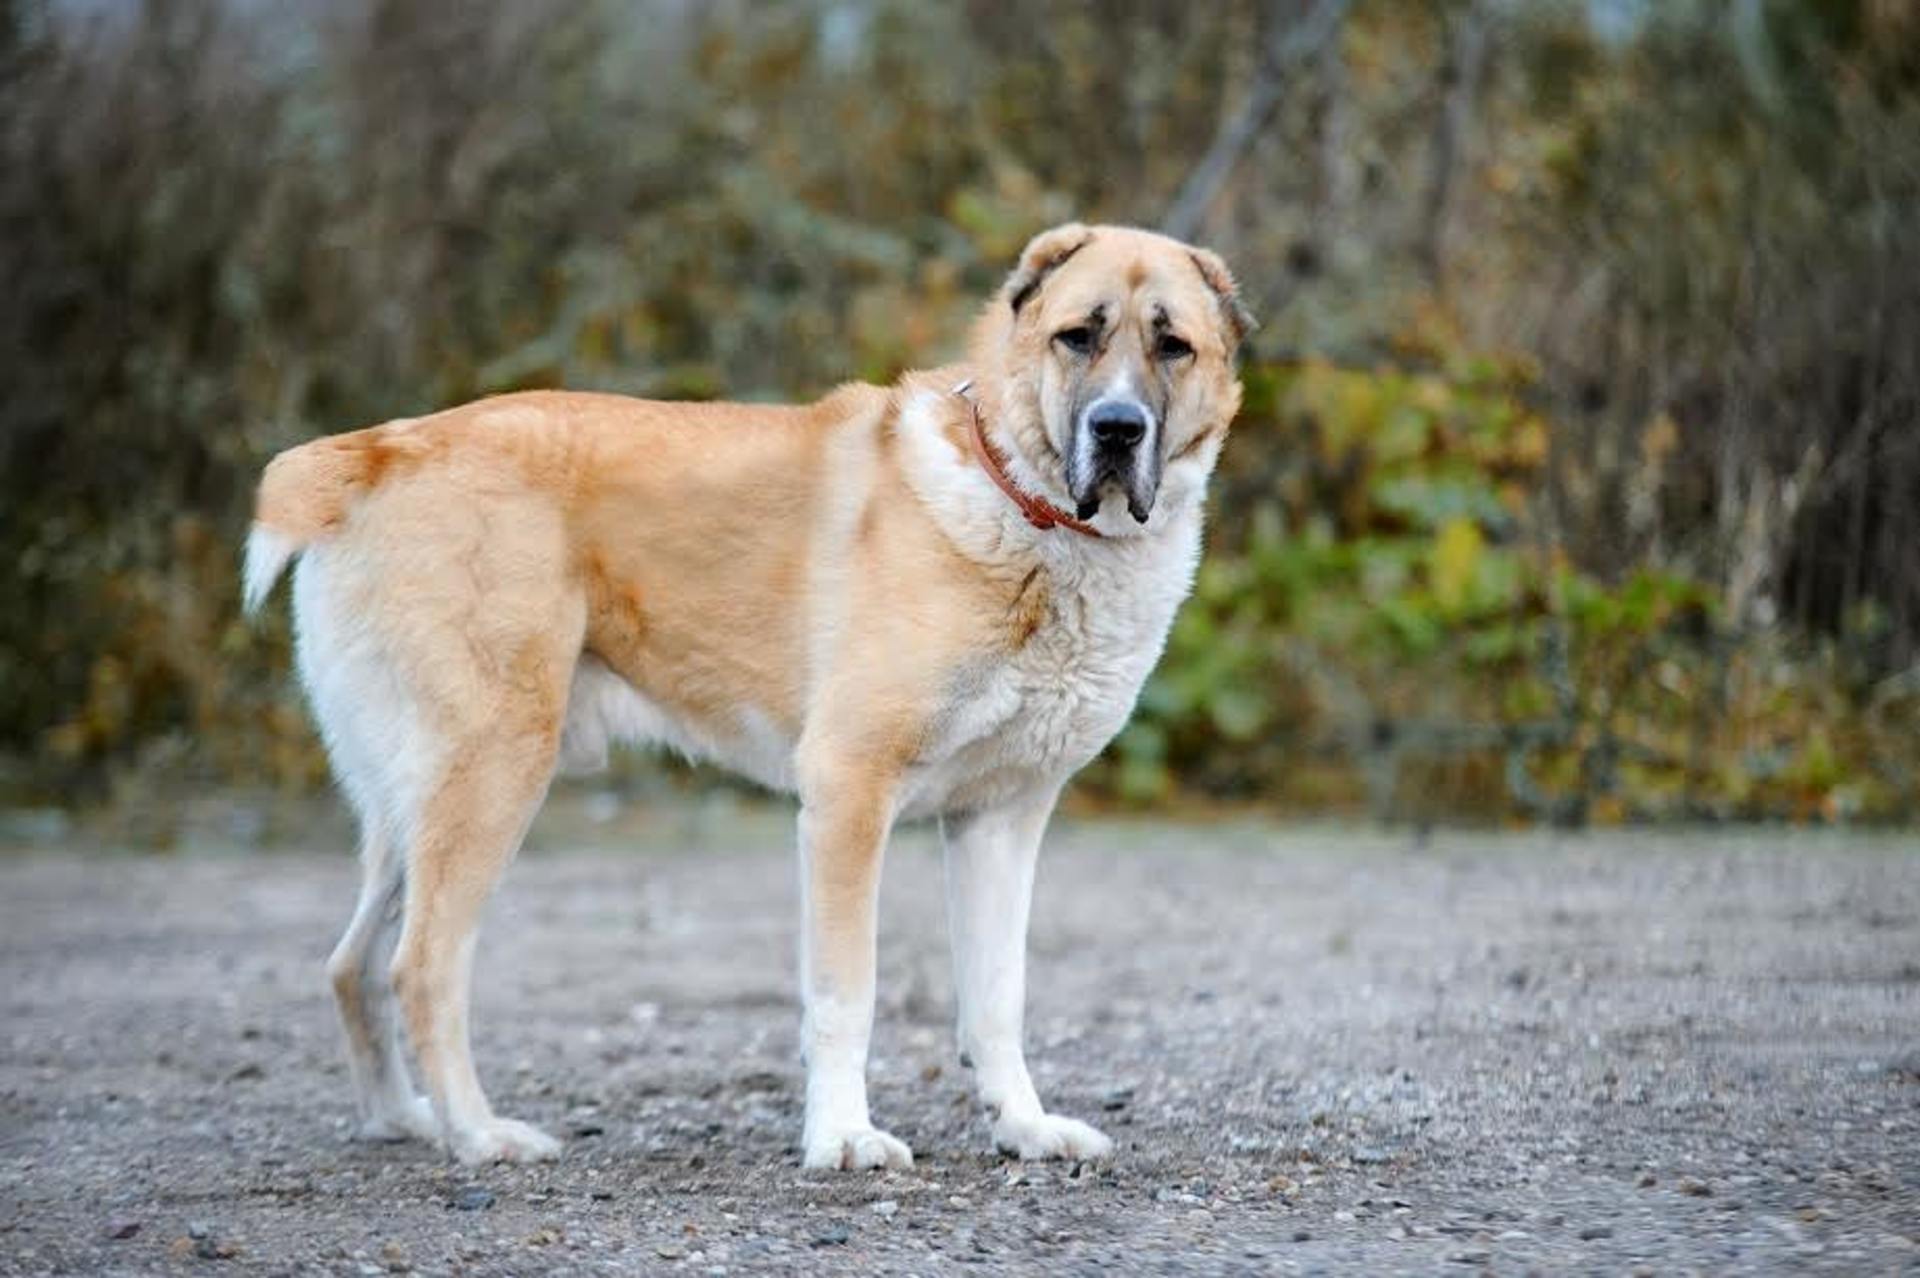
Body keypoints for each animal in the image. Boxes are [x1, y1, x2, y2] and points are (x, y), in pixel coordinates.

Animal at [240, 221, 1251, 1166]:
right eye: (1078, 336)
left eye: (1173, 345)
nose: (1117, 428)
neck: (1024, 509)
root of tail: (381, 449)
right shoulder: (848, 793)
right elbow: (847, 993)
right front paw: (843, 1138)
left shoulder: (1001, 820)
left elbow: (997, 998)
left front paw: (1027, 1127)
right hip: (490, 773)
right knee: (419, 968)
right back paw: (480, 1136)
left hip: (412, 804)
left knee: (351, 965)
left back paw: (401, 1121)